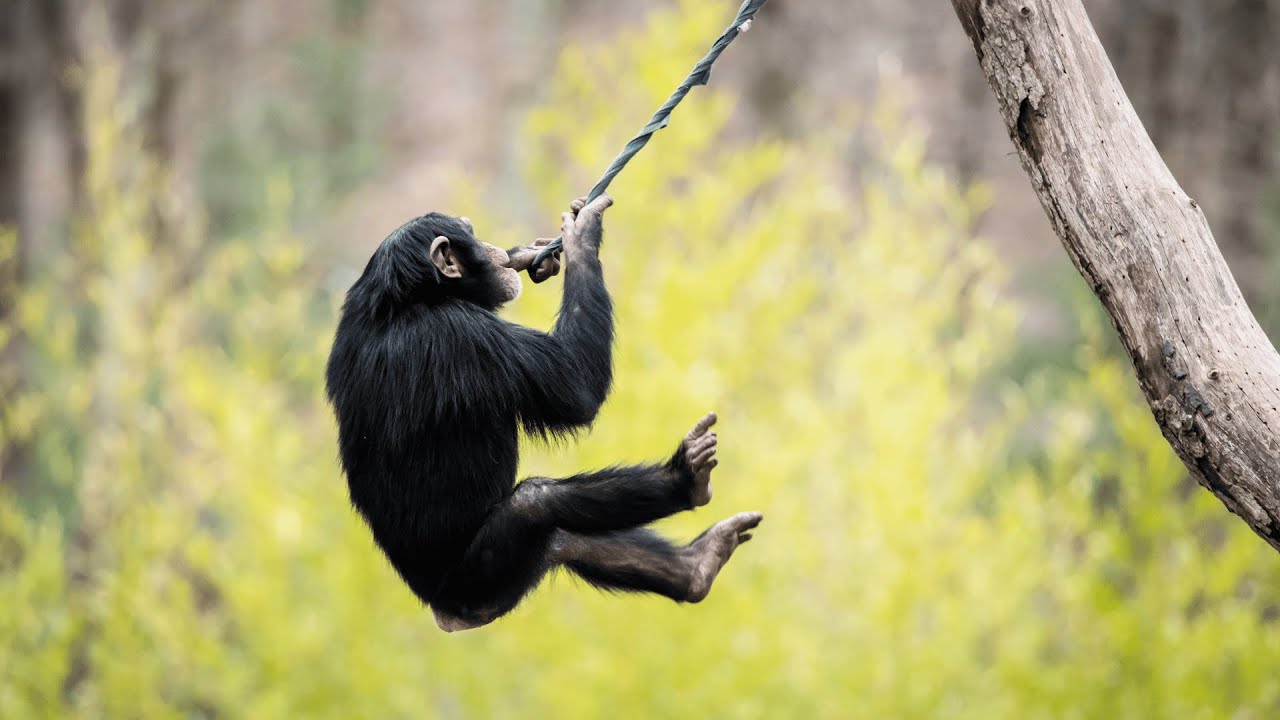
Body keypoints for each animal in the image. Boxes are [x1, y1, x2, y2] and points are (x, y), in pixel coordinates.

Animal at [325, 194, 762, 632]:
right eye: (472, 234)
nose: (494, 249)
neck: (408, 300)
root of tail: (445, 613)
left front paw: (532, 253)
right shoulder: (470, 334)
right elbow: (576, 388)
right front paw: (581, 237)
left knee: (563, 537)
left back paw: (697, 564)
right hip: (481, 580)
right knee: (537, 501)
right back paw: (685, 479)